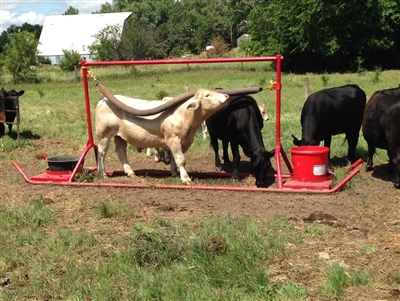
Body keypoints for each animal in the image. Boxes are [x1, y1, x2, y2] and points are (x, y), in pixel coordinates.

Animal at [95, 88, 230, 184]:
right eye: (207, 95)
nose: (226, 96)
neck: (183, 115)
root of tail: (103, 99)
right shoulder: (174, 140)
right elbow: (181, 159)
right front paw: (185, 178)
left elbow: (174, 158)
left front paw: (174, 172)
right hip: (104, 135)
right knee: (101, 153)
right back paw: (103, 173)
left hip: (120, 136)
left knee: (121, 151)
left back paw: (130, 172)